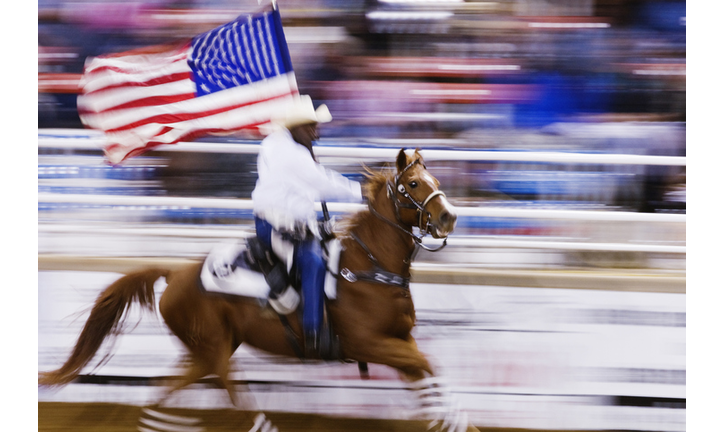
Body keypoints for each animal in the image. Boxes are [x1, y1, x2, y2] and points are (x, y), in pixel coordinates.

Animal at [39, 149, 476, 432]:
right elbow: (428, 366)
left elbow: (426, 374)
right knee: (231, 390)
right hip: (215, 348)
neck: (368, 268)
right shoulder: (370, 343)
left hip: (206, 348)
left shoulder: (400, 340)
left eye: (436, 181)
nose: (449, 217)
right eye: (413, 184)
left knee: (168, 389)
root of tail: (176, 272)